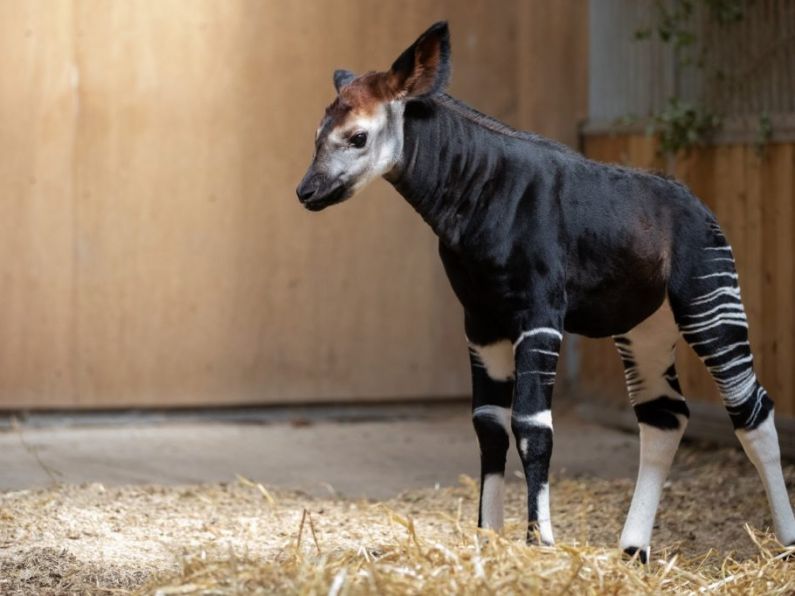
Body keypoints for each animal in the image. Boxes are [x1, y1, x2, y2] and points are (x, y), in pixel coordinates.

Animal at [296, 23, 792, 560]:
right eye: (317, 136)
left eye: (358, 137)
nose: (306, 192)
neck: (477, 194)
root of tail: (703, 208)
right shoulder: (481, 321)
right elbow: (489, 424)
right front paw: (489, 538)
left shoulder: (539, 314)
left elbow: (533, 427)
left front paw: (540, 542)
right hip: (645, 326)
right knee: (665, 416)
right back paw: (632, 550)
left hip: (710, 303)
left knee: (751, 408)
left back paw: (786, 540)